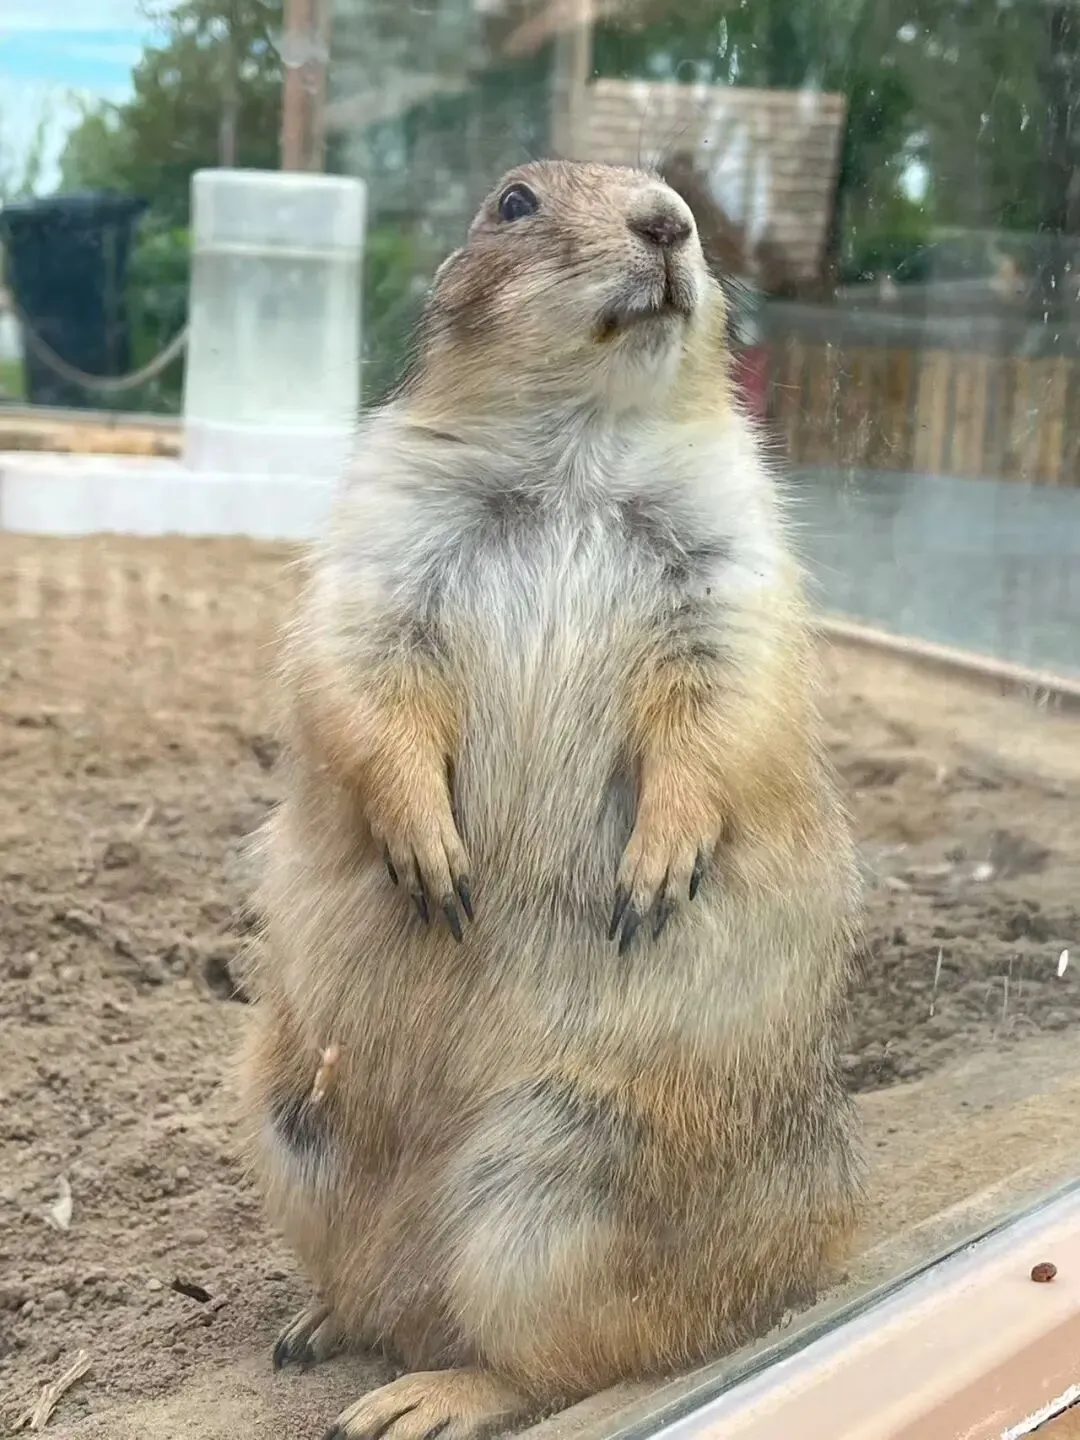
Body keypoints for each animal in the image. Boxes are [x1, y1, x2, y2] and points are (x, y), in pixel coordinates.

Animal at [239, 160, 863, 1440]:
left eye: (681, 198)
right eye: (515, 202)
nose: (669, 224)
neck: (581, 450)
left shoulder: (735, 558)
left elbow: (721, 702)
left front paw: (656, 872)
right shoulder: (381, 535)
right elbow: (363, 677)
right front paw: (434, 861)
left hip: (561, 1183)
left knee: (562, 1363)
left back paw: (417, 1397)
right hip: (292, 1123)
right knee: (381, 1295)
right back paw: (319, 1327)